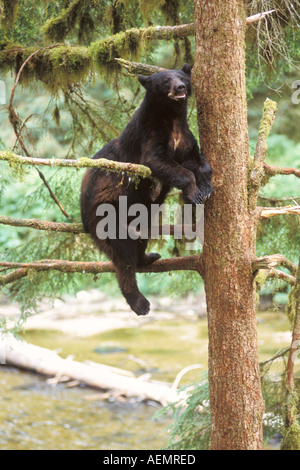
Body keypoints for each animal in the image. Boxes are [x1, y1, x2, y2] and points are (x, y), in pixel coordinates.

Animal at [79, 64, 211, 316]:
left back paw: (148, 256)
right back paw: (139, 302)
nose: (180, 87)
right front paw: (194, 192)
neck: (171, 118)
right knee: (123, 259)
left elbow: (195, 160)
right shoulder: (149, 136)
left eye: (182, 76)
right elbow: (158, 162)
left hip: (140, 215)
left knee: (141, 238)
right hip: (107, 214)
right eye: (165, 80)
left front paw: (206, 186)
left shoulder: (184, 136)